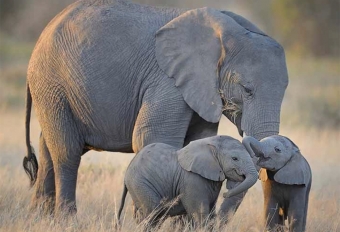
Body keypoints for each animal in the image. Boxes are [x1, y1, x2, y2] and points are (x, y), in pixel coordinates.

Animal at [23, 0, 288, 216]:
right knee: (67, 152)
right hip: (52, 84)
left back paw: (40, 218)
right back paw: (66, 220)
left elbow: (198, 141)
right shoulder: (167, 81)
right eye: (247, 89)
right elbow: (152, 137)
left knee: (48, 148)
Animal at [118, 135, 256, 227]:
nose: (225, 193)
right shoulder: (192, 180)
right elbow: (200, 214)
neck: (211, 142)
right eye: (235, 158)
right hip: (140, 184)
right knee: (153, 214)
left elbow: (211, 213)